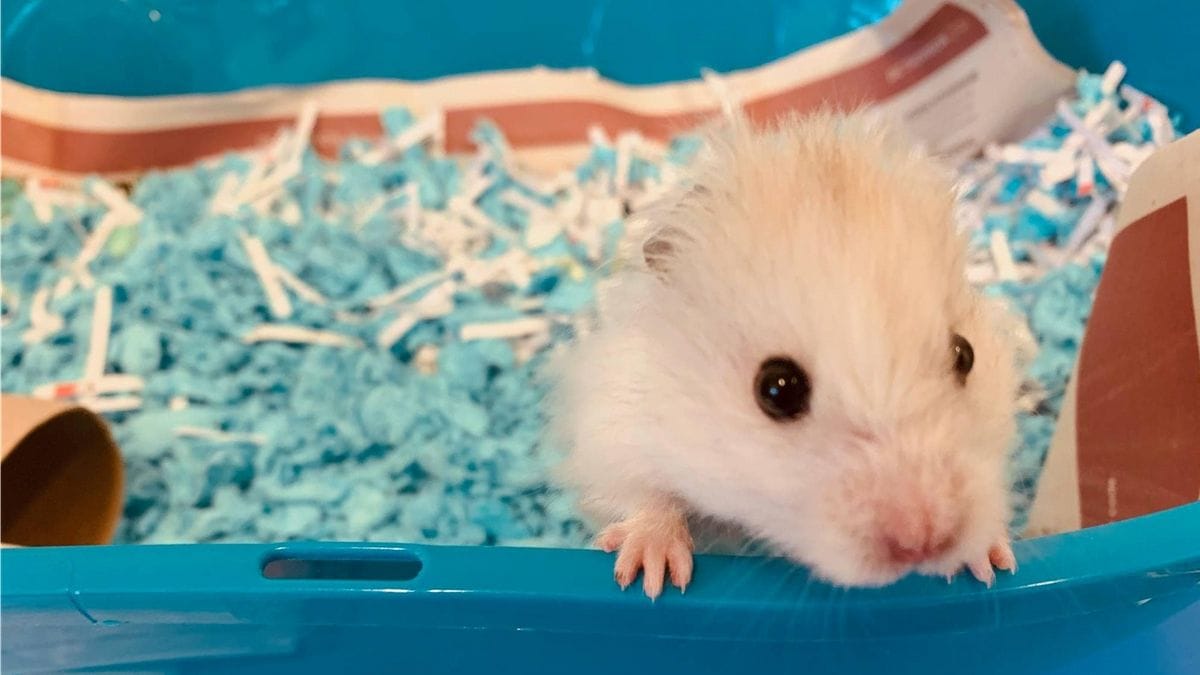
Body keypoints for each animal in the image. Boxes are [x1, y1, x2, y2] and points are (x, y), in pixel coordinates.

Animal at [549, 110, 1021, 599]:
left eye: (965, 354)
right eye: (776, 389)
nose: (924, 541)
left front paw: (992, 562)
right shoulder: (613, 427)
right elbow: (642, 494)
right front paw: (650, 575)